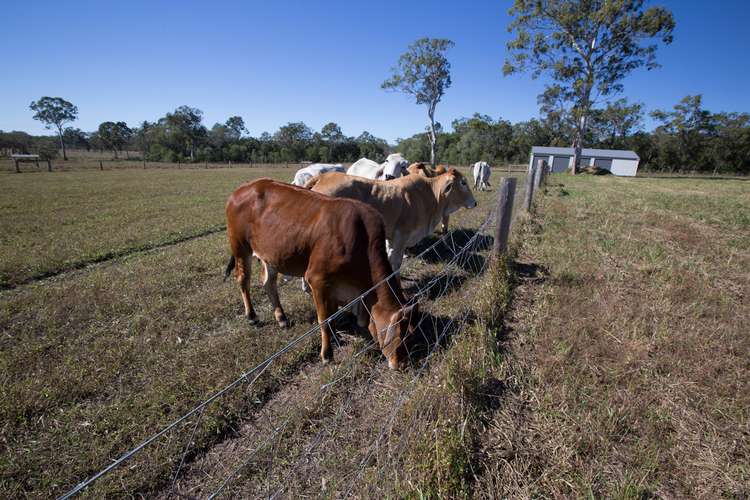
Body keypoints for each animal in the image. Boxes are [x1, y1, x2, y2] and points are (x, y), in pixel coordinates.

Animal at [226, 178, 420, 370]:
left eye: (411, 334)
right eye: (401, 336)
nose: (401, 364)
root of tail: (243, 188)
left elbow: (333, 315)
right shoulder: (317, 280)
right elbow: (325, 319)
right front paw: (327, 354)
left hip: (270, 255)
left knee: (268, 283)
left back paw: (281, 318)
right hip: (240, 247)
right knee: (243, 279)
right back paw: (252, 316)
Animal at [304, 167, 476, 274]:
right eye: (463, 182)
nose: (474, 202)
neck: (431, 196)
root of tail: (323, 177)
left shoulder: (391, 237)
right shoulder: (401, 236)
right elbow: (396, 263)